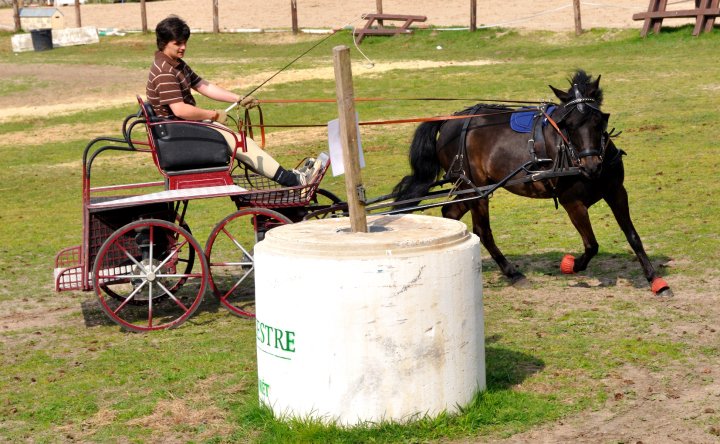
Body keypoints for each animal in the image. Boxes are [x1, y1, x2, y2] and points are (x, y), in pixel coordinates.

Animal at [390, 71, 672, 296]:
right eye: (568, 125)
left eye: (599, 119)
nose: (592, 166)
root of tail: (451, 120)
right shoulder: (572, 202)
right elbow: (591, 245)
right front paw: (571, 265)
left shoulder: (616, 192)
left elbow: (633, 236)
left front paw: (655, 280)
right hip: (477, 189)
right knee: (483, 230)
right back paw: (512, 273)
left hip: (468, 188)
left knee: (451, 212)